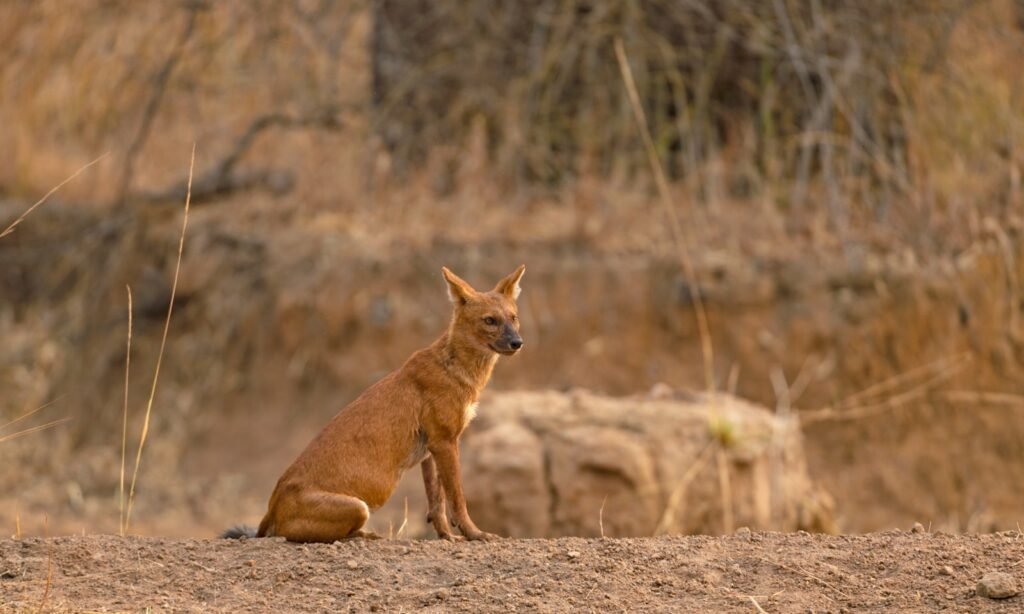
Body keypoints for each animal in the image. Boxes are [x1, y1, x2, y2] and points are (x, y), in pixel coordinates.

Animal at [222, 265, 525, 542]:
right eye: (490, 320)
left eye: (513, 318)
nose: (517, 342)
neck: (455, 367)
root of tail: (270, 510)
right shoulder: (445, 441)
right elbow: (457, 498)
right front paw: (475, 534)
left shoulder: (431, 448)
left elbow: (436, 503)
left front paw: (446, 536)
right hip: (358, 507)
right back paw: (365, 534)